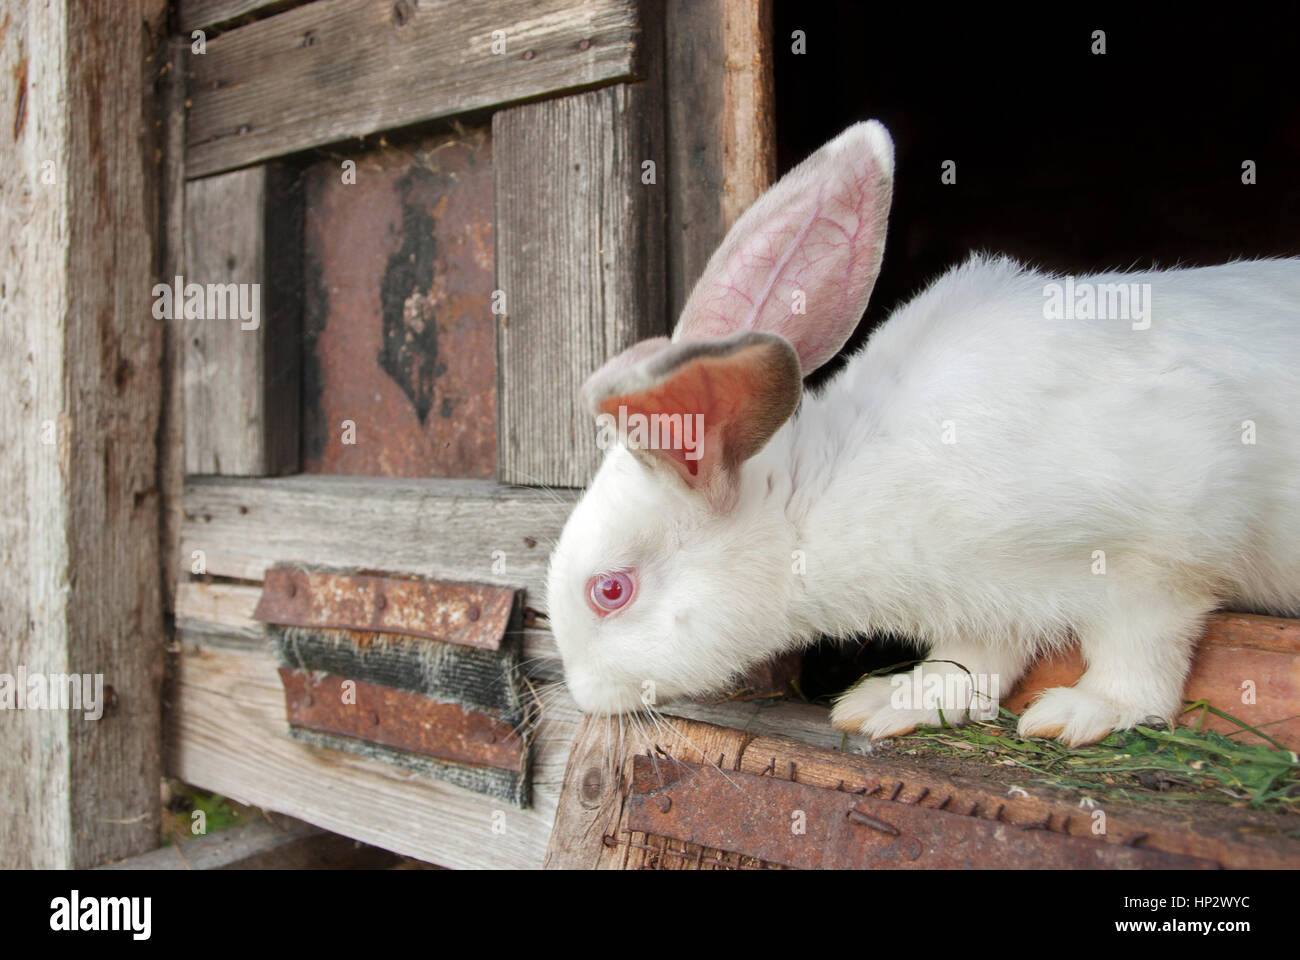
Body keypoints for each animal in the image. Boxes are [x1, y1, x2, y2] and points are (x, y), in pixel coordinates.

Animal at [545, 120, 1300, 747]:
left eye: (610, 591)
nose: (583, 695)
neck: (822, 496)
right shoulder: (987, 602)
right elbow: (971, 663)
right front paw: (890, 703)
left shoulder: (1163, 549)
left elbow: (1138, 651)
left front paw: (1080, 714)